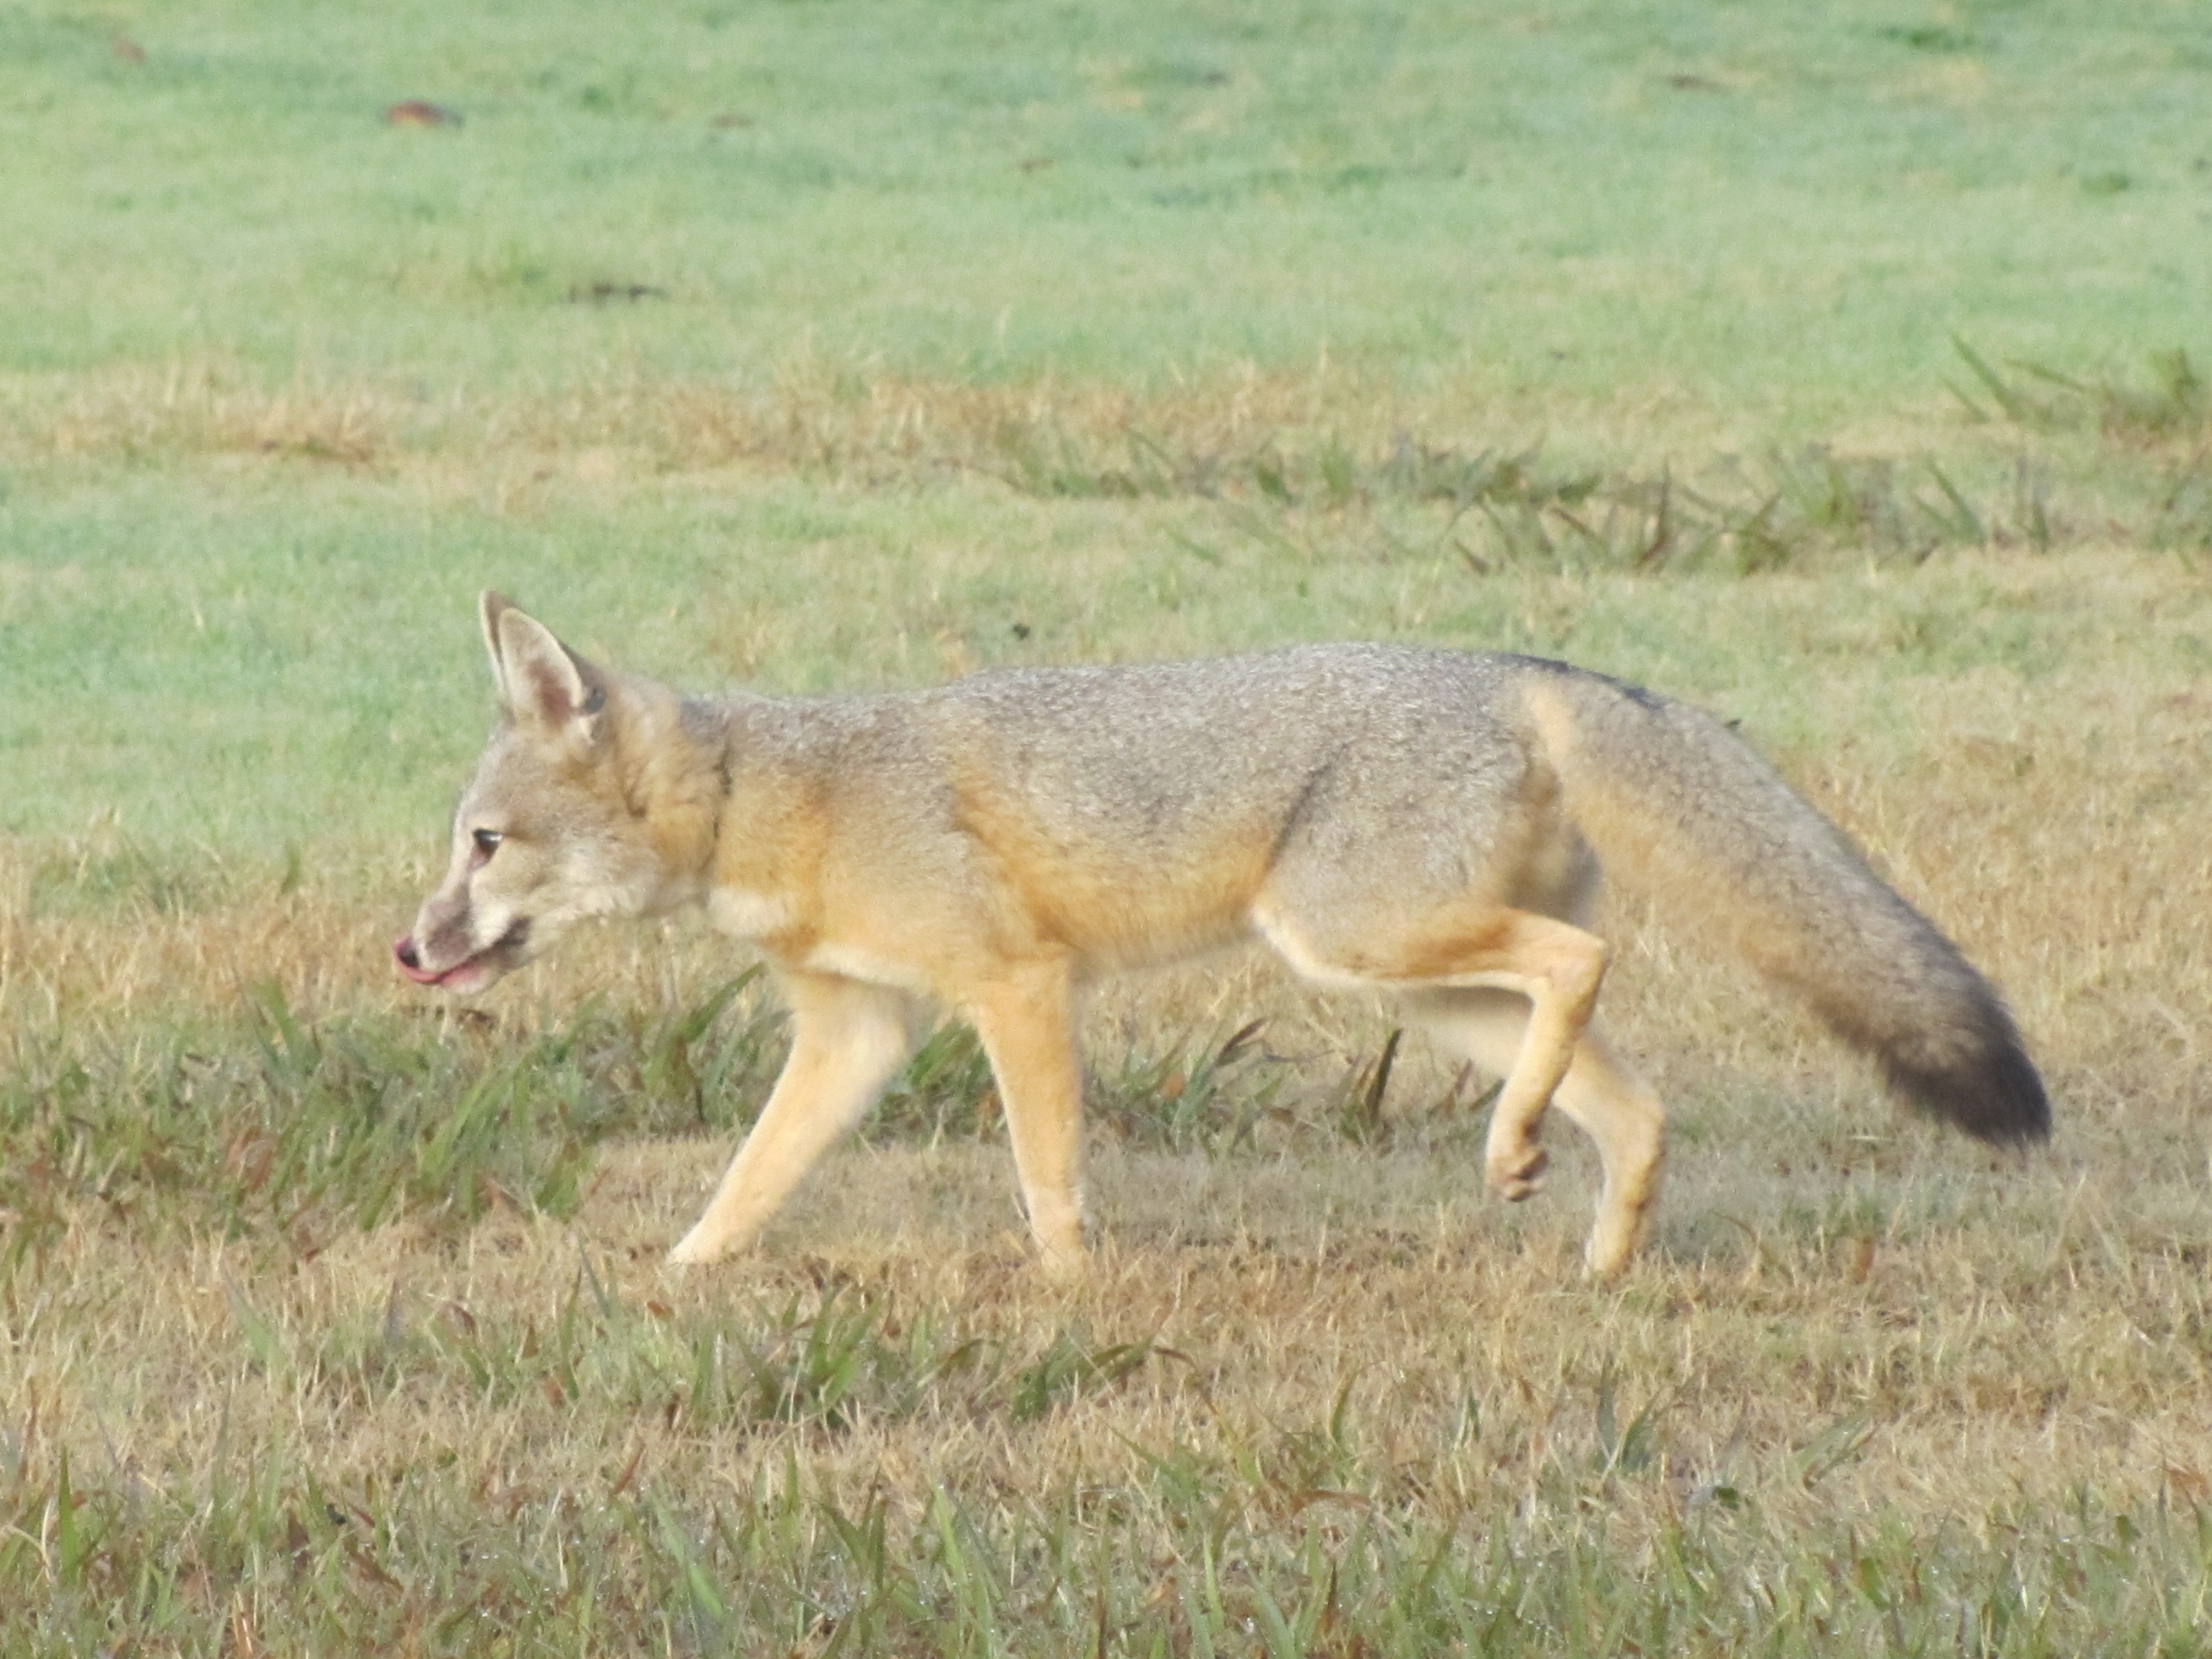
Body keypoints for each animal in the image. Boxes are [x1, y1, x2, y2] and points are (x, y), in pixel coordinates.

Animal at [396, 594, 2048, 1280]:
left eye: (482, 846)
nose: (410, 955)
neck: (776, 796)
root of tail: (1512, 662)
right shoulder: (859, 1029)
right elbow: (746, 1182)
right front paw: (676, 1279)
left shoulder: (1017, 988)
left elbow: (1046, 1172)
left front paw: (1071, 1295)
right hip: (1419, 987)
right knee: (1630, 1101)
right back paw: (1587, 1249)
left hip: (1357, 942)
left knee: (1583, 967)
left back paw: (1524, 1161)